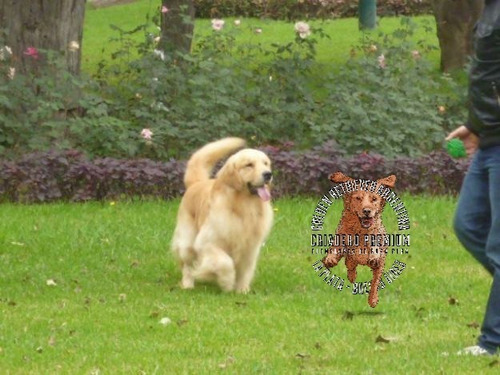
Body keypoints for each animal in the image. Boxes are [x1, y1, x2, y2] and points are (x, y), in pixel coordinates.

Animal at [172, 138, 274, 294]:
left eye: (266, 163)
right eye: (249, 165)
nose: (268, 174)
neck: (243, 208)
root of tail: (195, 184)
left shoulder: (250, 248)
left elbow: (245, 270)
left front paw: (242, 290)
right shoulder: (206, 243)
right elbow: (225, 262)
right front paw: (227, 282)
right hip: (187, 243)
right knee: (187, 266)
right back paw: (188, 284)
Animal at [322, 172, 396, 306]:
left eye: (374, 199)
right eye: (358, 198)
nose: (367, 211)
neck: (360, 231)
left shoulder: (380, 260)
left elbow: (375, 281)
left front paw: (373, 300)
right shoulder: (341, 238)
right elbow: (335, 248)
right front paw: (330, 259)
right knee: (350, 265)